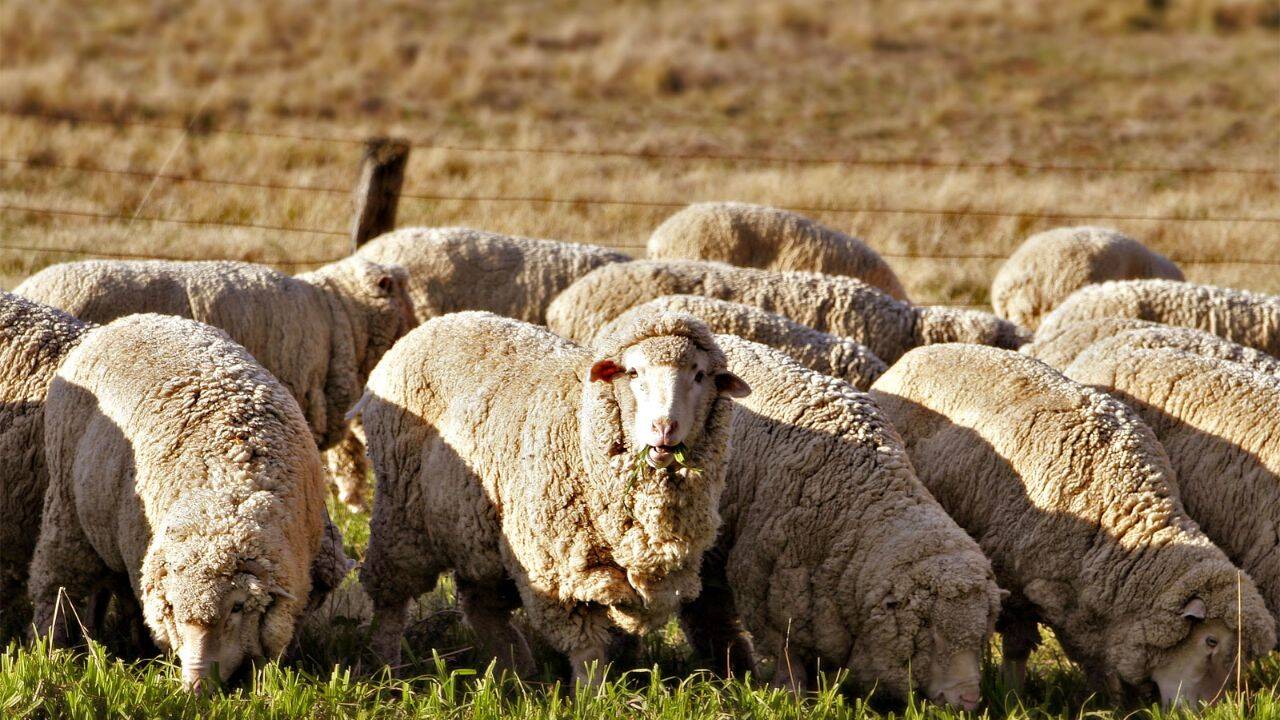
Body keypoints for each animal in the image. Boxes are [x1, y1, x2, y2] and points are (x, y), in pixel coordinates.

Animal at [29, 314, 327, 691]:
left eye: (238, 607)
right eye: (173, 608)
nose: (195, 687)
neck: (227, 489)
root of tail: (128, 319)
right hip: (66, 505)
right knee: (55, 583)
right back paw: (49, 649)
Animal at [358, 311, 749, 686]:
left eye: (699, 375)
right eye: (634, 372)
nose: (664, 428)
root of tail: (433, 324)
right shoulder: (558, 569)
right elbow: (587, 649)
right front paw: (592, 695)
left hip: (478, 531)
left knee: (481, 604)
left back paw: (516, 669)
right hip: (401, 513)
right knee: (391, 598)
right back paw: (387, 667)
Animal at [678, 335, 1002, 709]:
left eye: (982, 634)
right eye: (930, 633)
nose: (968, 700)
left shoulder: (822, 608)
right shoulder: (767, 591)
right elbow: (787, 656)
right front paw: (792, 697)